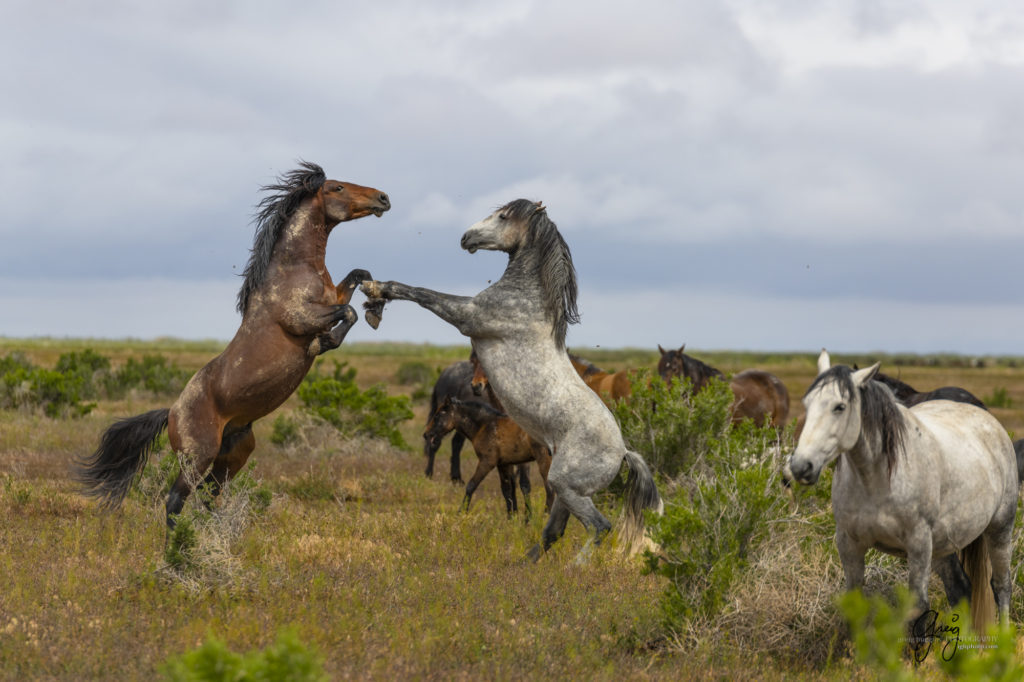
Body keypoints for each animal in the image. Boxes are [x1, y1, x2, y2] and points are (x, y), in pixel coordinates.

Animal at [74, 163, 389, 524]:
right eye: (337, 187)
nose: (383, 198)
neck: (293, 269)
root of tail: (172, 412)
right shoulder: (301, 317)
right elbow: (348, 312)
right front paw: (324, 342)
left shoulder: (331, 296)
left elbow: (358, 276)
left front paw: (377, 304)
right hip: (198, 456)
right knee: (175, 499)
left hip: (236, 451)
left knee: (209, 494)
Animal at [423, 393, 552, 516]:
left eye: (438, 416)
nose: (426, 434)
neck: (484, 426)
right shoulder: (503, 464)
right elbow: (507, 489)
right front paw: (511, 517)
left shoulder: (487, 462)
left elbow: (471, 485)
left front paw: (461, 513)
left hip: (544, 461)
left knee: (549, 488)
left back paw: (546, 515)